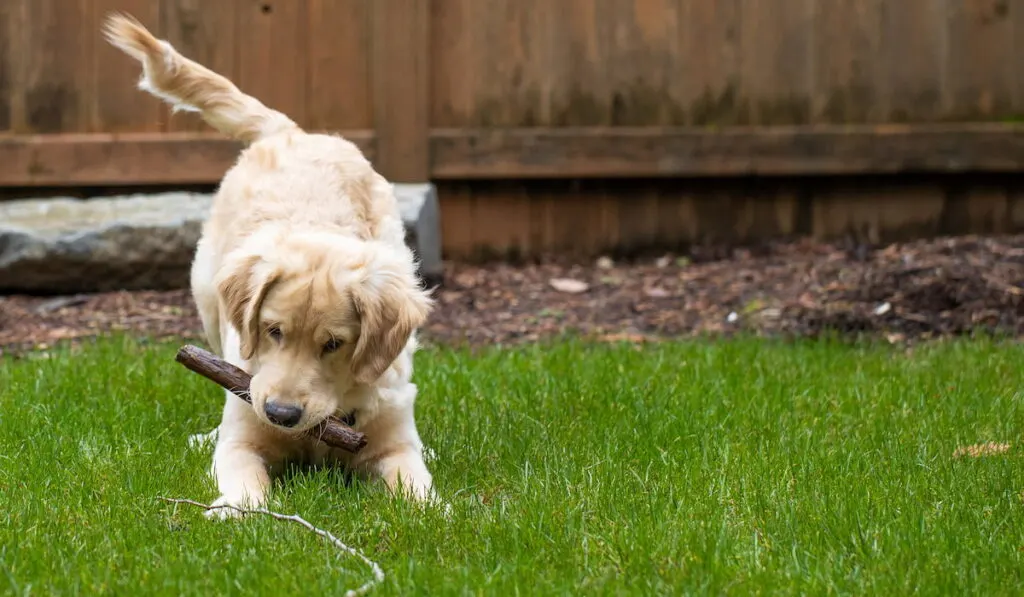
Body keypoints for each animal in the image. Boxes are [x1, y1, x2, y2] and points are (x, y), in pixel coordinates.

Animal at [102, 14, 436, 518]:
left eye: (334, 344)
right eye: (273, 331)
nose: (281, 414)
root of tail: (292, 132)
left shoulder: (393, 438)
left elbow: (419, 488)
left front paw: (439, 511)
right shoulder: (243, 437)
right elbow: (245, 480)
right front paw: (238, 512)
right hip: (208, 300)